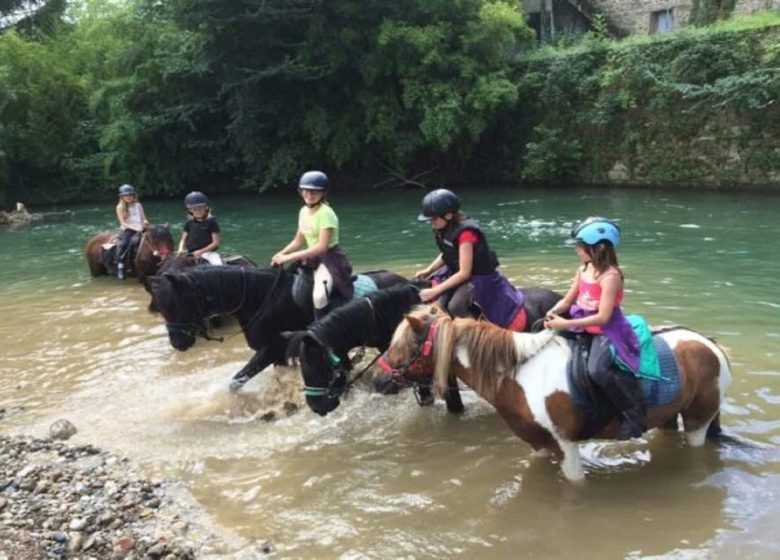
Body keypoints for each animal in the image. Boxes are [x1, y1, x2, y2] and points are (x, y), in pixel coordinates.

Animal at [149, 266, 412, 390]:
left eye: (175, 304)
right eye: (161, 307)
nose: (179, 343)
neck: (260, 298)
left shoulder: (270, 350)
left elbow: (236, 382)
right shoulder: (278, 356)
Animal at [380, 306, 736, 482]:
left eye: (405, 344)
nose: (377, 379)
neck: (520, 375)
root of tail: (709, 343)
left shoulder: (567, 446)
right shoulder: (539, 445)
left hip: (698, 422)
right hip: (668, 418)